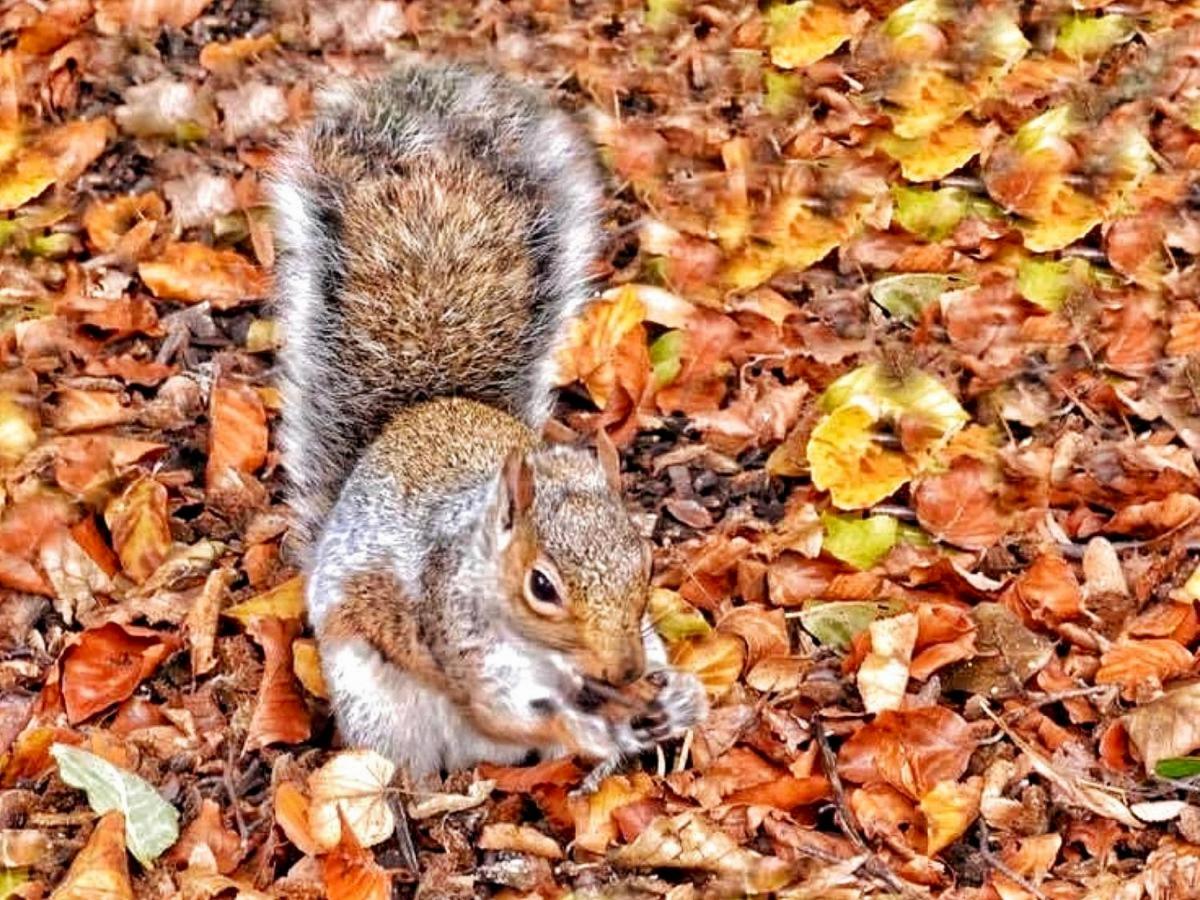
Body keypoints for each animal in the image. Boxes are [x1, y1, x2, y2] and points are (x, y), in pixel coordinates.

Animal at [269, 62, 706, 783]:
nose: (624, 671)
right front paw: (586, 723)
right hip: (378, 703)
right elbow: (510, 710)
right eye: (541, 587)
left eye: (645, 560)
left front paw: (677, 698)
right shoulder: (456, 637)